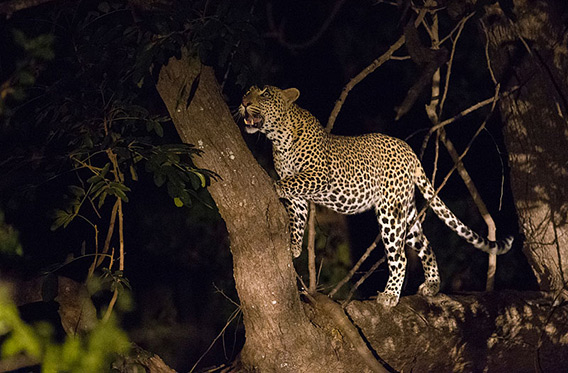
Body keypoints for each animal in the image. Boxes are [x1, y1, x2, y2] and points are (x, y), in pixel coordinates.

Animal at [237, 85, 512, 306]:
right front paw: (294, 246)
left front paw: (275, 186)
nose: (243, 101)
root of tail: (408, 149)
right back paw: (432, 285)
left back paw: (390, 295)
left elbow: (290, 181)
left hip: (390, 212)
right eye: (247, 91)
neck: (279, 140)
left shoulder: (319, 174)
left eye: (264, 94)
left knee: (400, 257)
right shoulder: (300, 197)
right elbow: (298, 217)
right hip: (405, 211)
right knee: (424, 242)